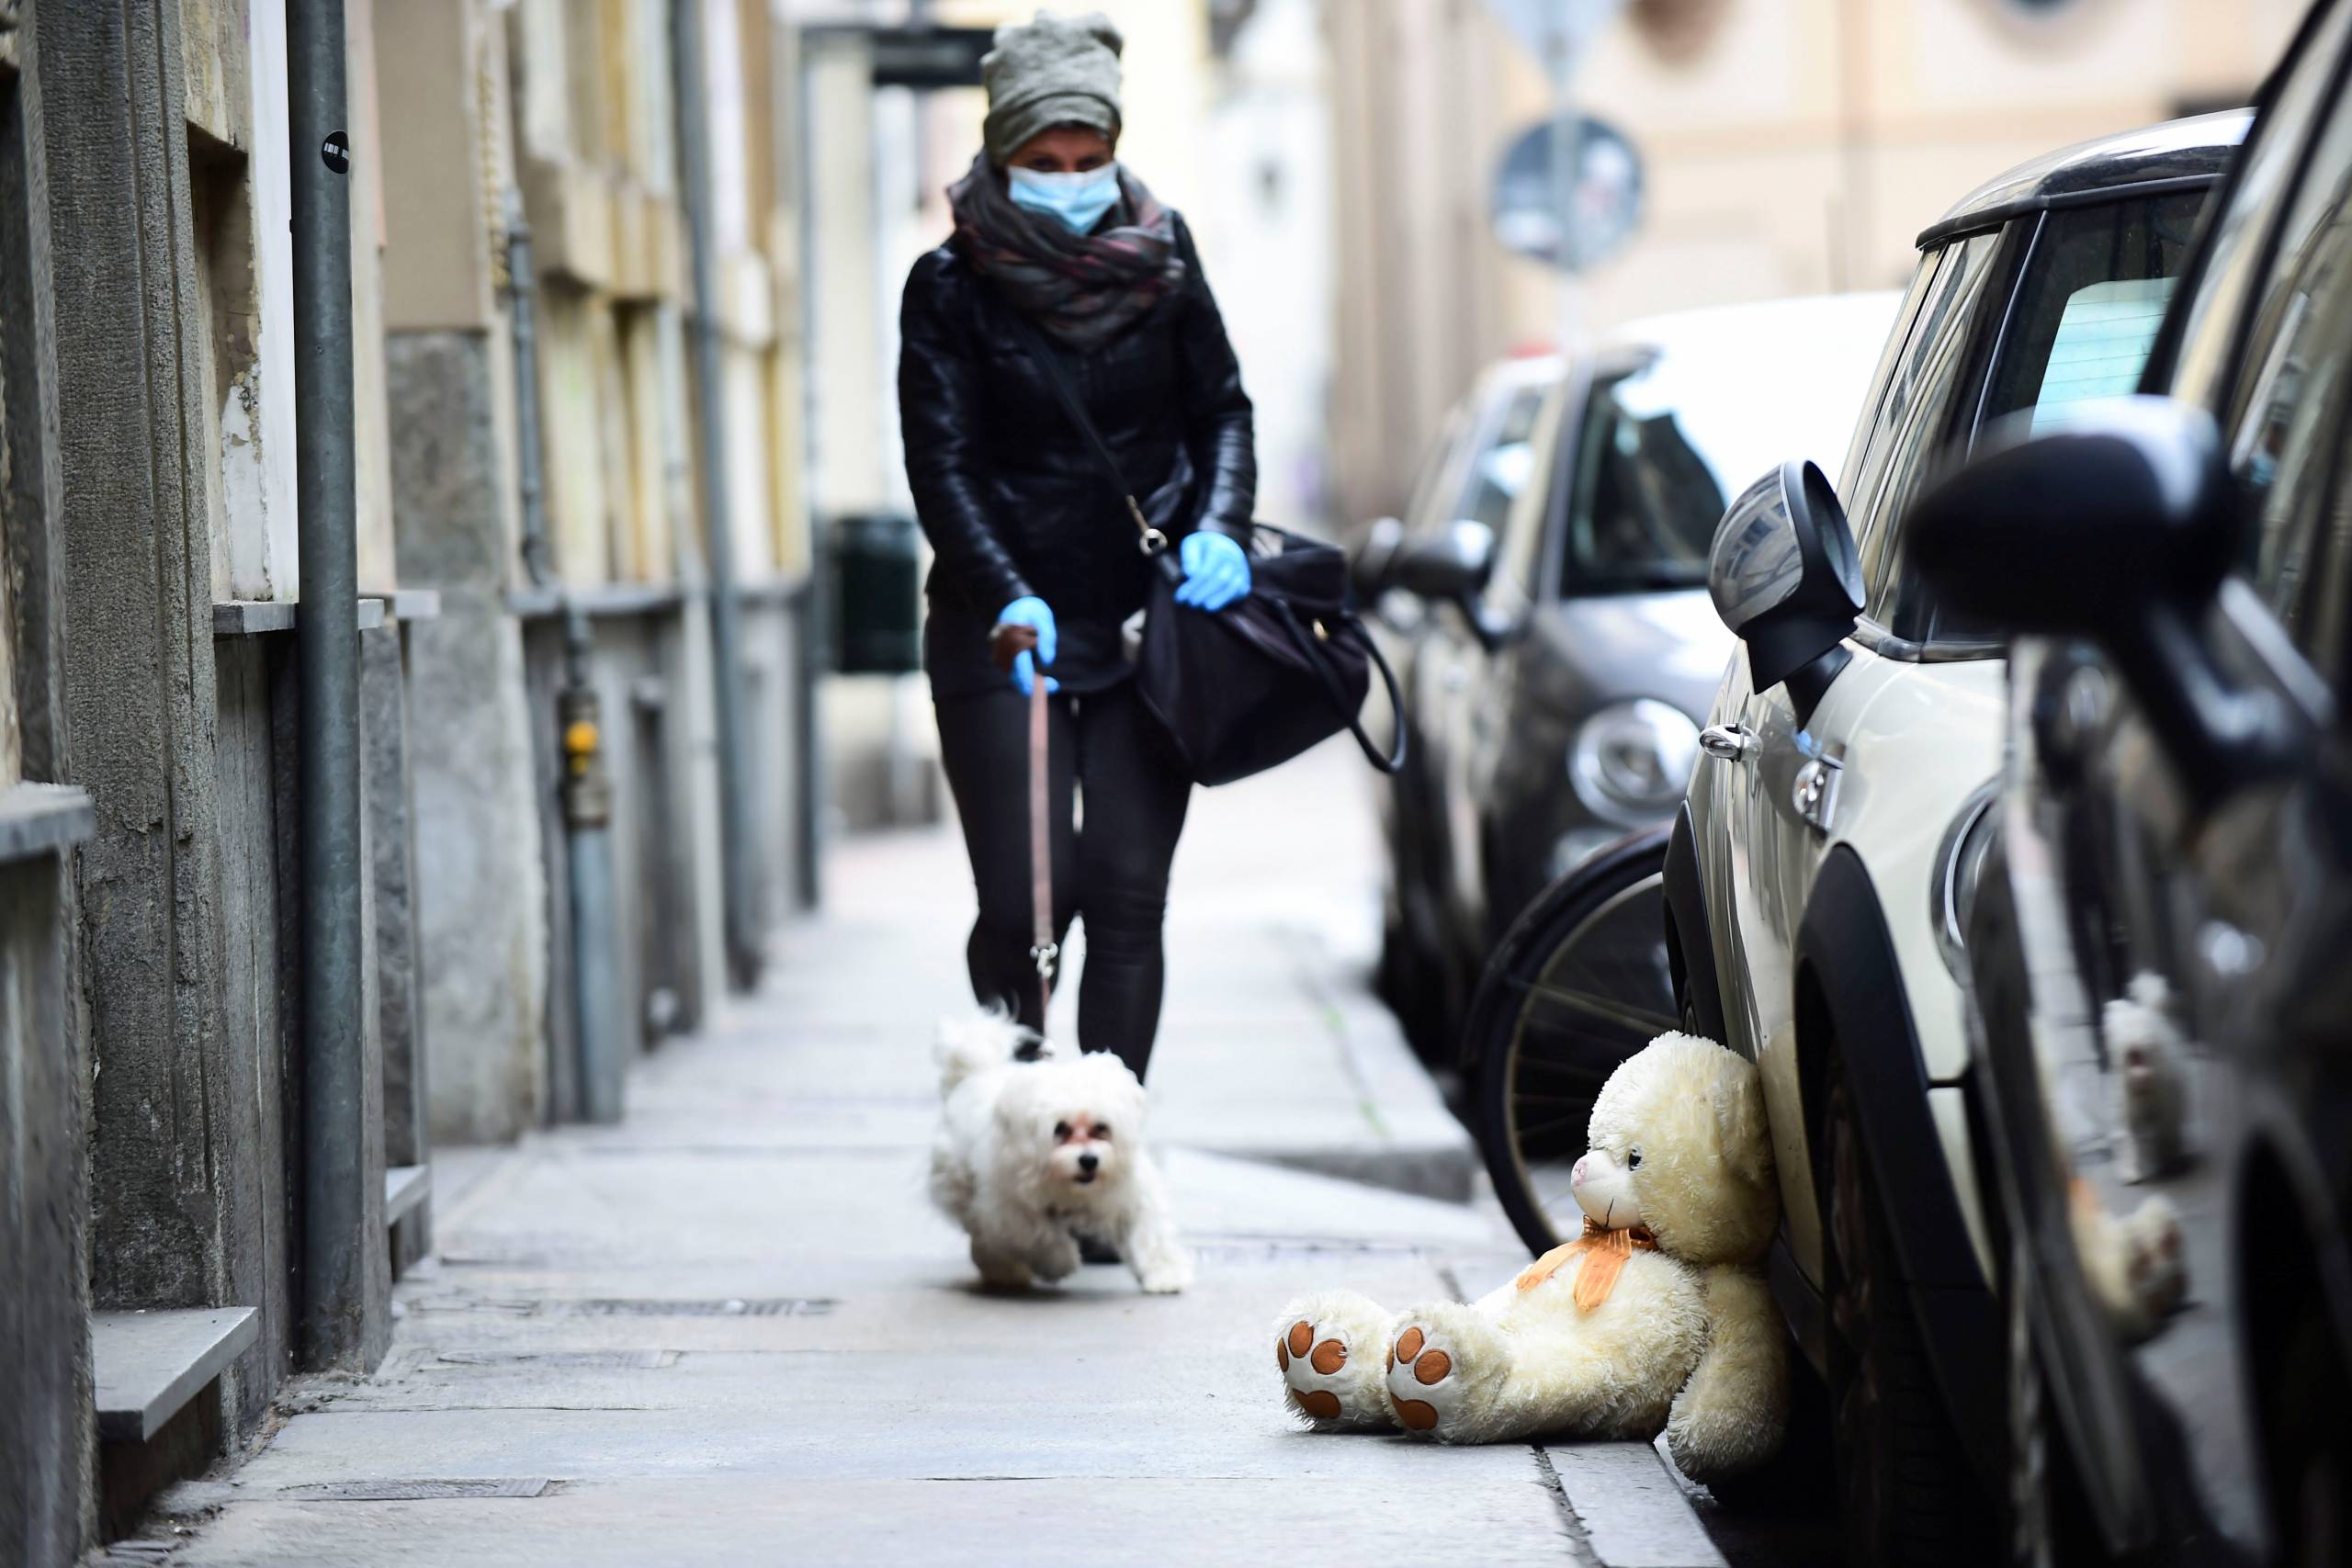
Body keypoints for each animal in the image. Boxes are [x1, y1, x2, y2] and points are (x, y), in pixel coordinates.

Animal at [926, 1010, 1194, 1297]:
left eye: (1101, 1128)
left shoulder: (1131, 1193)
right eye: (1060, 1129)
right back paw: (1005, 1272)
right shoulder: (1010, 1207)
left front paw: (1166, 1274)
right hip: (963, 1190)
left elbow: (1149, 1232)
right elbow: (1040, 1234)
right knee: (987, 1237)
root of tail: (973, 1075)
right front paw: (1059, 1262)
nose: (1089, 1160)